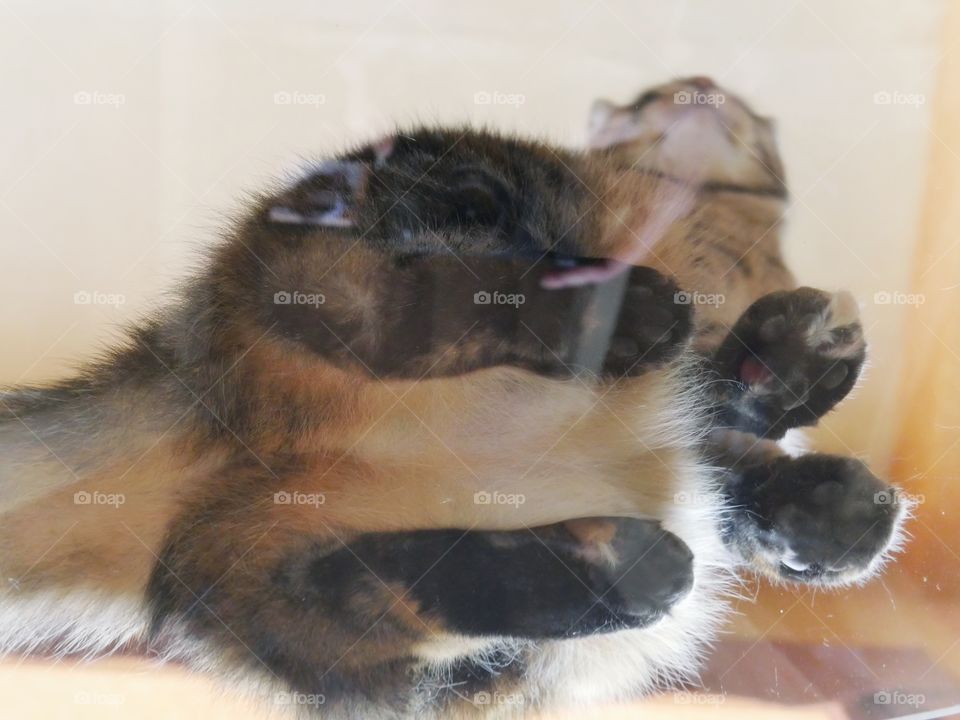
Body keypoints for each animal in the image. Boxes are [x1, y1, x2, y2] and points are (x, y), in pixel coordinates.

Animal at [0, 111, 904, 716]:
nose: (870, 516)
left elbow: (738, 436)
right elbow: (726, 403)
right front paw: (793, 371)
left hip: (295, 607)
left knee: (363, 586)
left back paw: (625, 563)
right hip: (374, 231)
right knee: (420, 301)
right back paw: (624, 317)